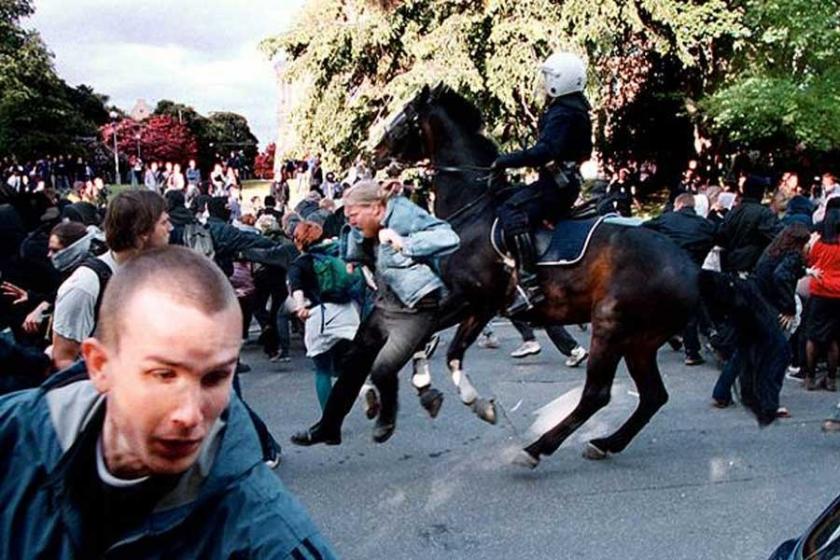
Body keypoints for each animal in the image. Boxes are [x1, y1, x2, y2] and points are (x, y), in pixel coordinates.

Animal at [370, 84, 700, 468]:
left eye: (404, 115)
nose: (376, 152)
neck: (472, 209)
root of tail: (688, 267)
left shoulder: (471, 300)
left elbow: (439, 344)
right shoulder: (471, 306)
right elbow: (439, 346)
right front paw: (437, 395)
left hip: (610, 329)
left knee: (597, 395)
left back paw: (536, 449)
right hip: (640, 342)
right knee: (652, 396)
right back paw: (605, 442)